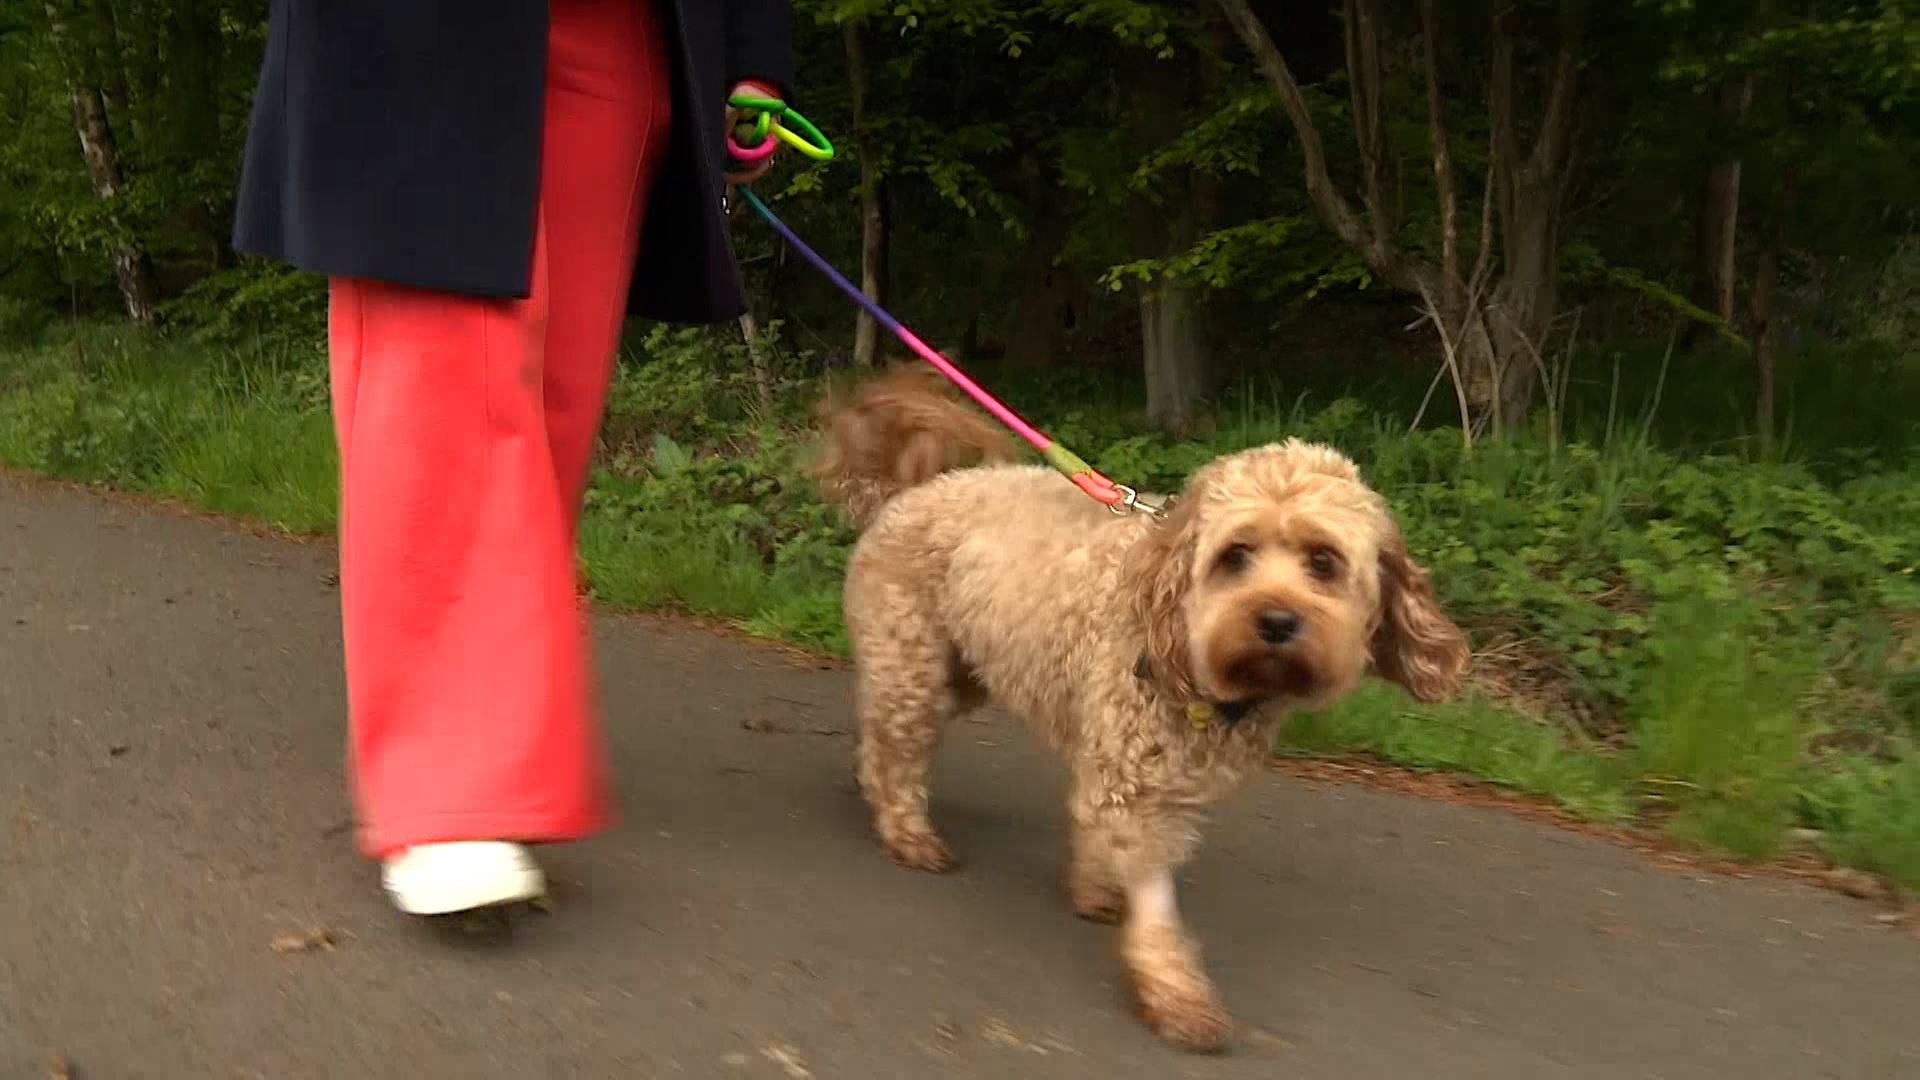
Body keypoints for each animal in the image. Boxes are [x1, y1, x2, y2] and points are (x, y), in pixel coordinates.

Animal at [814, 365, 1466, 1045]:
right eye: (1236, 555)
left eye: (1323, 561)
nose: (1277, 621)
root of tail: (907, 494)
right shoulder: (1135, 777)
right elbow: (1153, 896)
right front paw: (1173, 990)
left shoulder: (1121, 756)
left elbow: (1093, 824)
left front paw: (1094, 887)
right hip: (912, 659)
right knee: (898, 747)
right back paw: (907, 830)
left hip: (959, 671)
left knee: (883, 734)